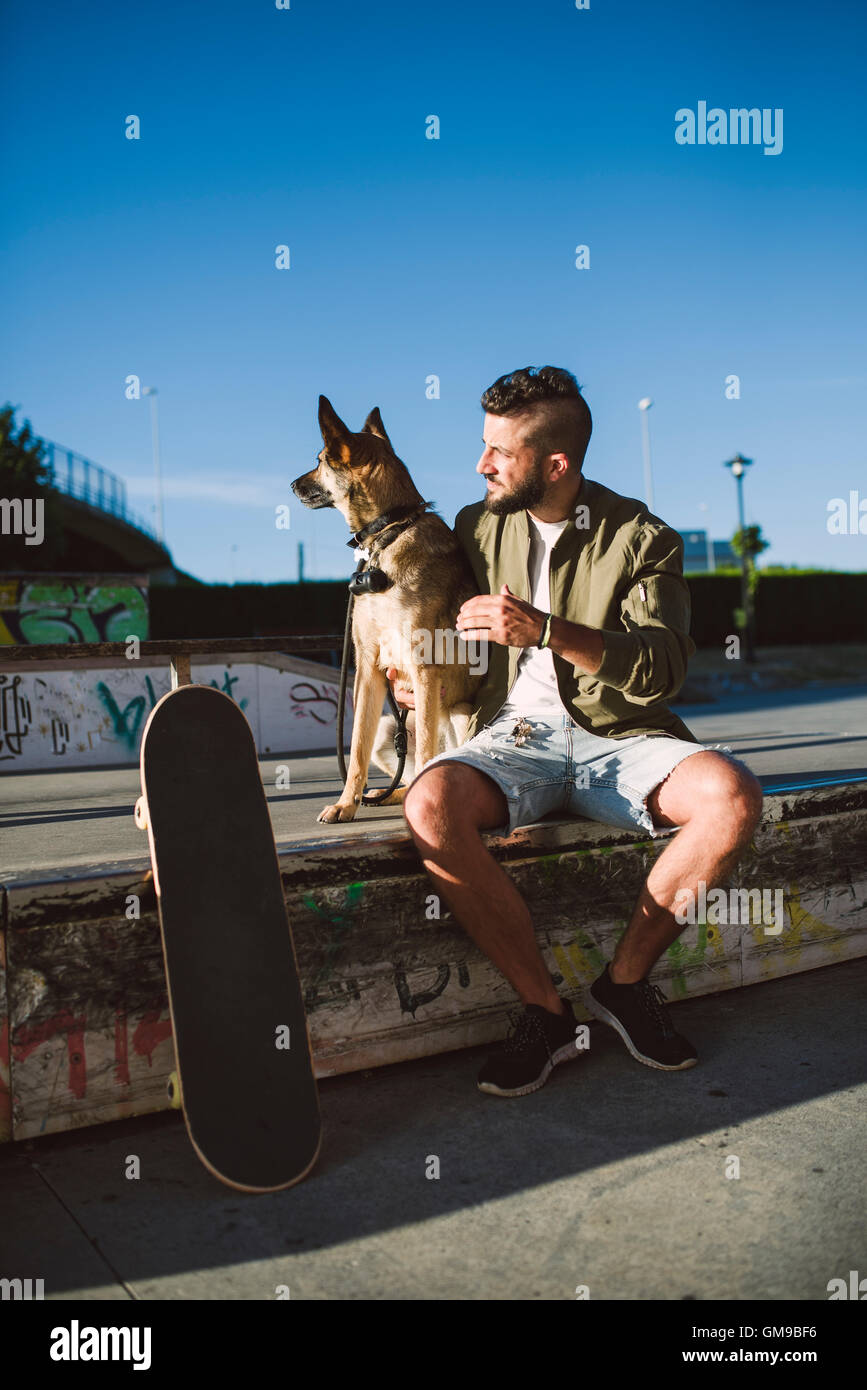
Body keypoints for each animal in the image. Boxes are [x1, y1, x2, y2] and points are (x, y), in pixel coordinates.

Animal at [289, 397, 480, 817]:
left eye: (320, 460)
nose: (292, 484)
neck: (389, 532)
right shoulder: (368, 669)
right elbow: (356, 749)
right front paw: (346, 804)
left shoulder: (424, 669)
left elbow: (423, 751)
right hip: (390, 731)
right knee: (404, 771)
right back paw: (387, 793)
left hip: (461, 717)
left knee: (432, 759)